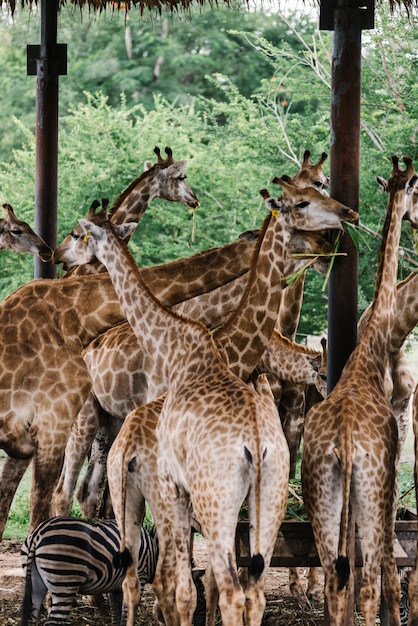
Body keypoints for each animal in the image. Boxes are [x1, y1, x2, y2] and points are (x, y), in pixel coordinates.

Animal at [20, 516, 157, 624]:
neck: (153, 551)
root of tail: (38, 533)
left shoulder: (115, 586)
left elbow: (116, 614)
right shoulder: (139, 577)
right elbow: (127, 613)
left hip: (36, 583)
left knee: (32, 616)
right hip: (65, 583)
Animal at [50, 183, 354, 624]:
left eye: (77, 233)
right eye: (304, 205)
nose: (329, 245)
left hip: (115, 430)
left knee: (95, 499)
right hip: (91, 418)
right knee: (68, 493)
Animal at [300, 155, 418, 624]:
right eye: (414, 185)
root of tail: (346, 443)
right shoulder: (387, 473)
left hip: (320, 492)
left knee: (336, 577)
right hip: (368, 488)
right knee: (365, 580)